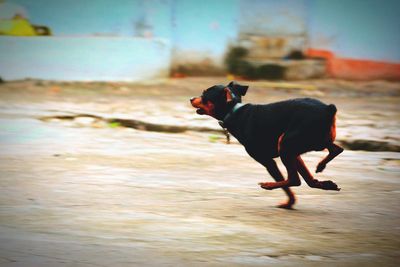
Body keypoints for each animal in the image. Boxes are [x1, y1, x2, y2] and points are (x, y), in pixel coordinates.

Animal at [191, 81, 344, 209]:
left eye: (204, 95)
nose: (191, 99)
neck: (234, 111)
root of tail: (329, 109)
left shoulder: (267, 161)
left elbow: (287, 184)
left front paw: (289, 202)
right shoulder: (295, 154)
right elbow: (308, 178)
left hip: (286, 144)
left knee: (294, 180)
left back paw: (269, 185)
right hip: (307, 143)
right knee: (336, 150)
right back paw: (323, 174)